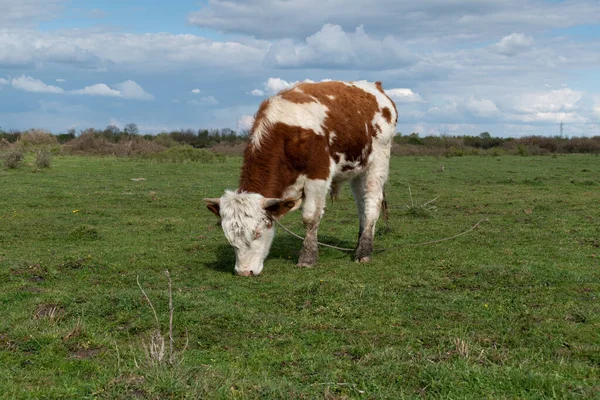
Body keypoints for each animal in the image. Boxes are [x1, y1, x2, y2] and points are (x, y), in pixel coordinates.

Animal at [206, 80, 398, 276]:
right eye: (229, 237)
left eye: (257, 233)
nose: (244, 272)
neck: (286, 131)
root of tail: (375, 87)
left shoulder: (318, 174)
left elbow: (310, 217)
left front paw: (307, 258)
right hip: (358, 170)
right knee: (362, 206)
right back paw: (360, 245)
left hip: (378, 162)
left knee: (372, 205)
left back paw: (364, 252)